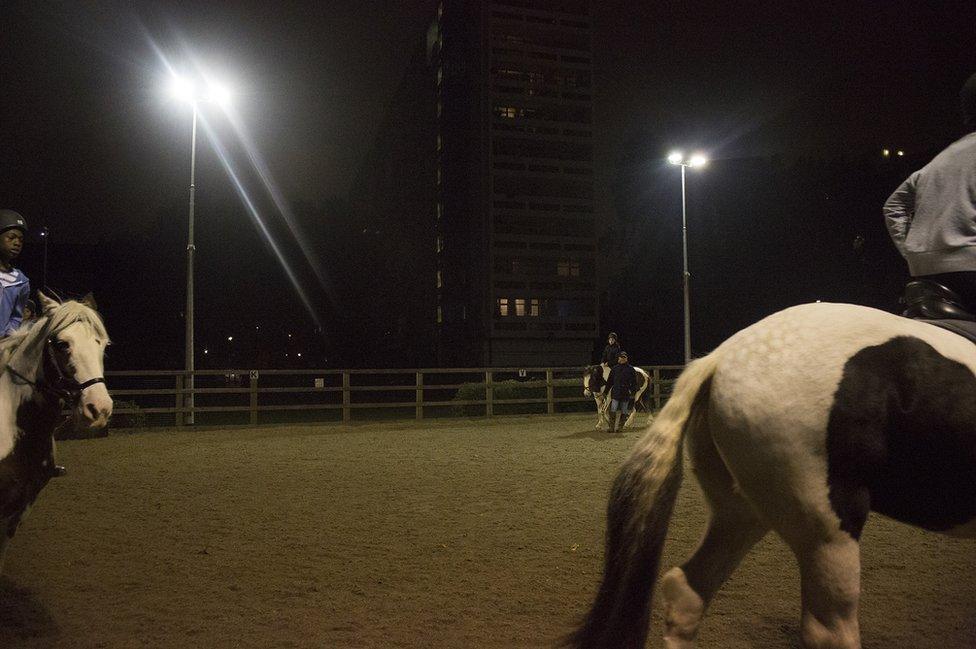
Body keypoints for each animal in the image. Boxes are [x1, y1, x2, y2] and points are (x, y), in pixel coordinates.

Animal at [568, 302, 976, 648]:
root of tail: (719, 360)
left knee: (688, 593)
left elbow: (608, 408)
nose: (586, 388)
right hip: (825, 532)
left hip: (746, 513)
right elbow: (605, 408)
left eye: (591, 375)